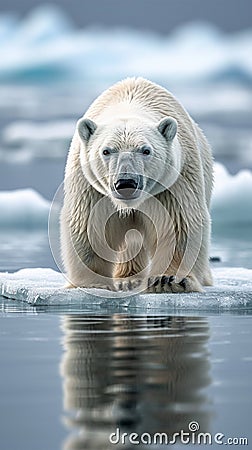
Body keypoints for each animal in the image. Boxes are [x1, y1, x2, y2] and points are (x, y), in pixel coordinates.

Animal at [60, 77, 213, 292]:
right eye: (106, 151)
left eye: (146, 150)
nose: (126, 182)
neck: (130, 100)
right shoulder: (89, 184)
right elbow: (89, 223)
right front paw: (93, 283)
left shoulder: (174, 181)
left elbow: (179, 223)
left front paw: (168, 280)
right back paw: (127, 279)